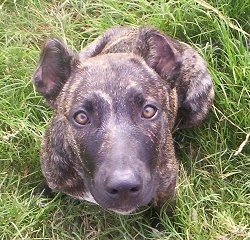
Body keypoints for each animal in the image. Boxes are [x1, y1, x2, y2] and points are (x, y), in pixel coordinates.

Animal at [32, 26, 214, 214]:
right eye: (81, 117)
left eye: (148, 111)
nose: (123, 187)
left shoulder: (165, 192)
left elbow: (162, 213)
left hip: (197, 106)